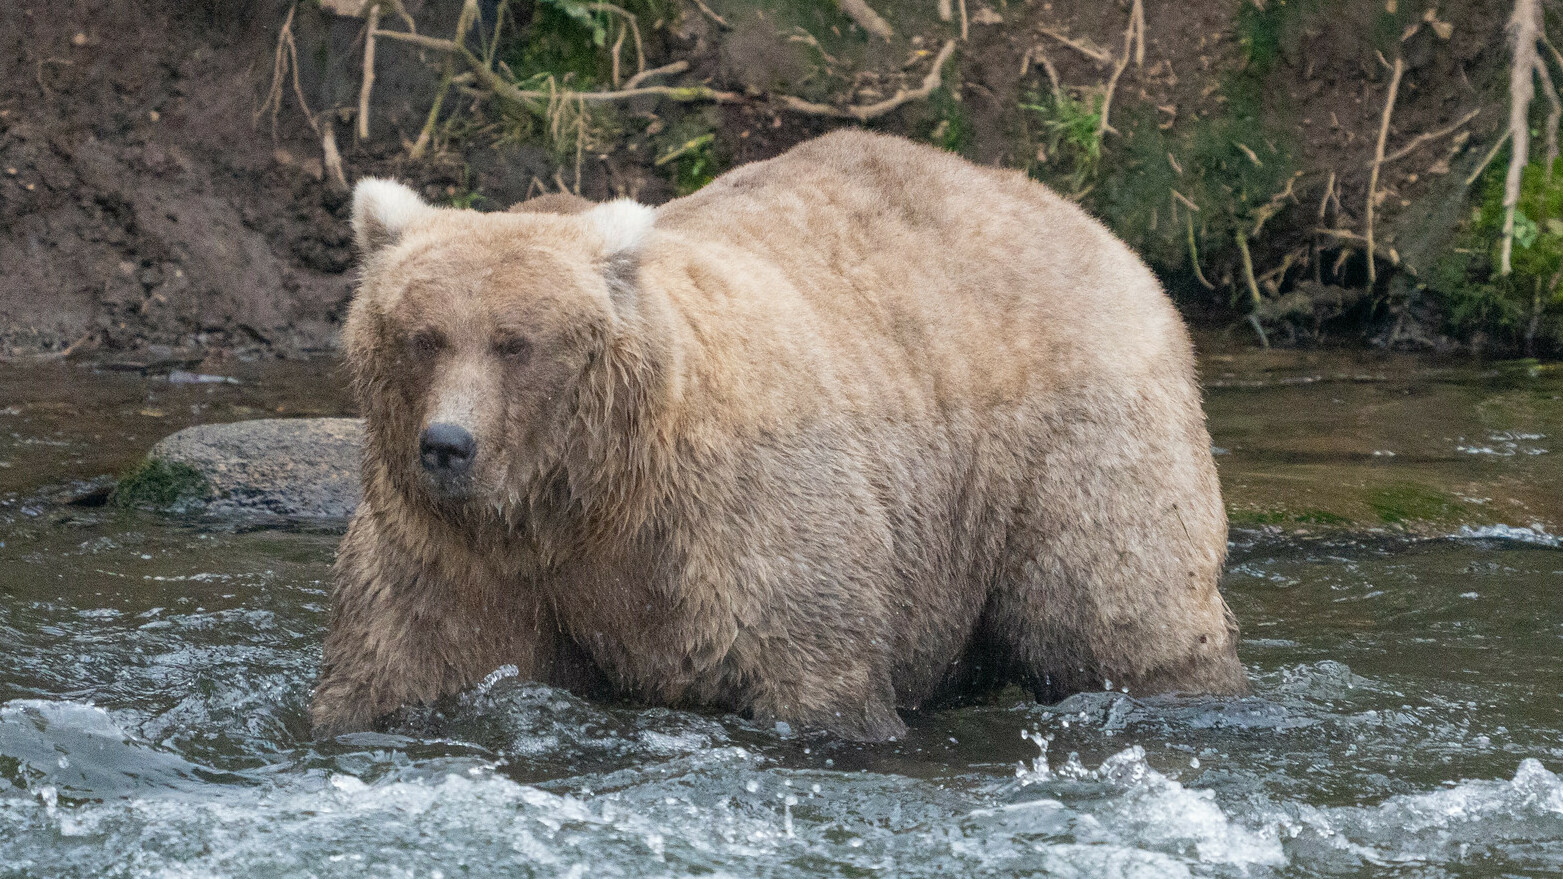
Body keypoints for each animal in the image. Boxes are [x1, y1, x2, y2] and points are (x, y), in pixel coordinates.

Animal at [314, 126, 1244, 735]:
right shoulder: (454, 553)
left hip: (1071, 439)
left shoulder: (732, 524)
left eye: (516, 342)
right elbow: (401, 663)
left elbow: (810, 668)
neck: (582, 496)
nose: (447, 444)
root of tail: (1086, 220)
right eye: (422, 335)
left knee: (1114, 607)